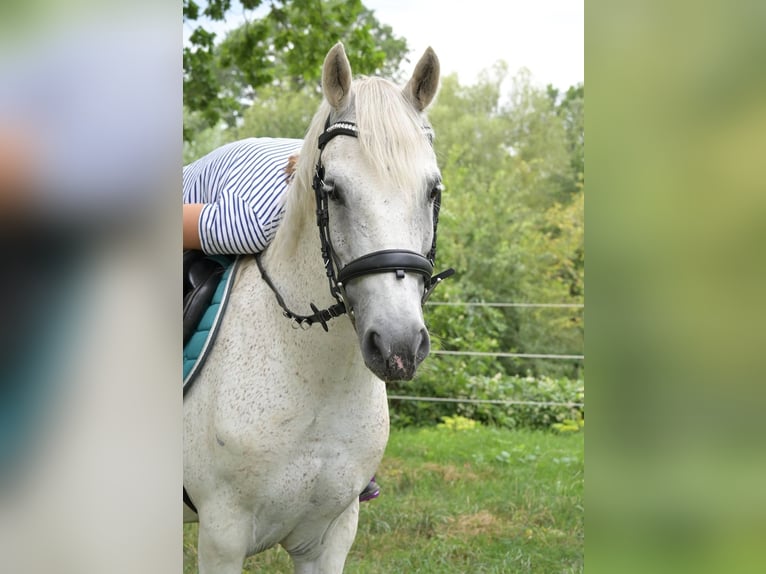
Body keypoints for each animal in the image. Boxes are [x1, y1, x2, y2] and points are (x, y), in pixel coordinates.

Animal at [184, 42, 450, 572]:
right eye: (334, 191)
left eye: (432, 190)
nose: (398, 346)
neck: (314, 382)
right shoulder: (221, 536)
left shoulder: (330, 537)